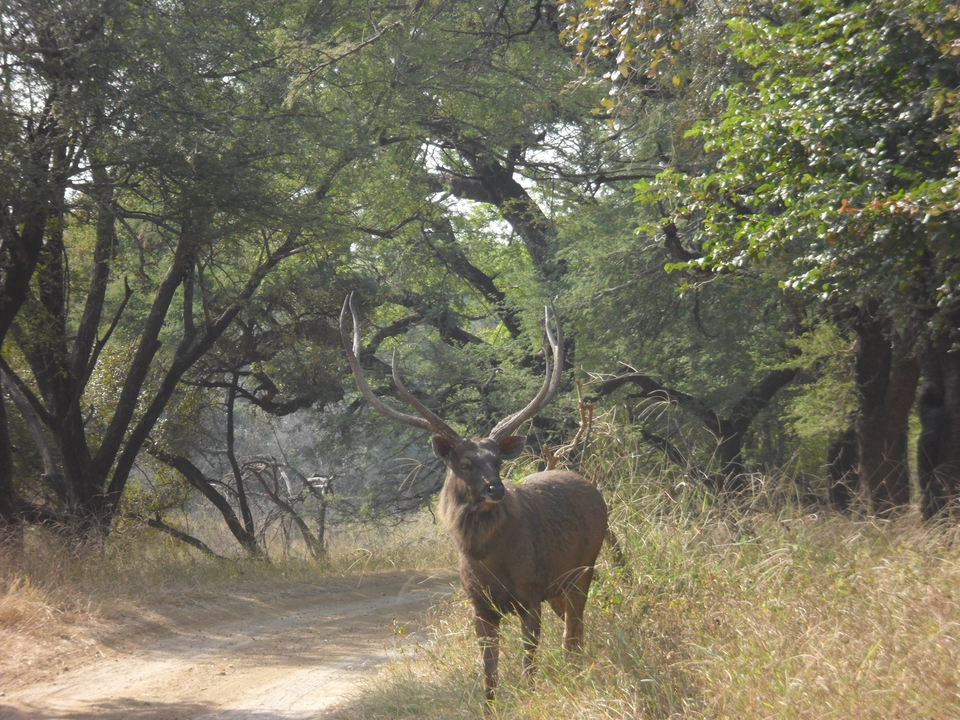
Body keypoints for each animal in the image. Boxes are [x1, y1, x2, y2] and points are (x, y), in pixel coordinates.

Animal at [340, 294, 608, 702]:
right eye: (464, 463)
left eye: (497, 461)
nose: (496, 489)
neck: (488, 560)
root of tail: (594, 491)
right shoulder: (479, 604)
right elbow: (489, 673)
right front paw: (491, 705)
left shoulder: (530, 592)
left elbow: (528, 664)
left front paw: (530, 697)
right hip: (561, 586)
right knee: (572, 630)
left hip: (583, 569)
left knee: (573, 631)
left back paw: (576, 671)